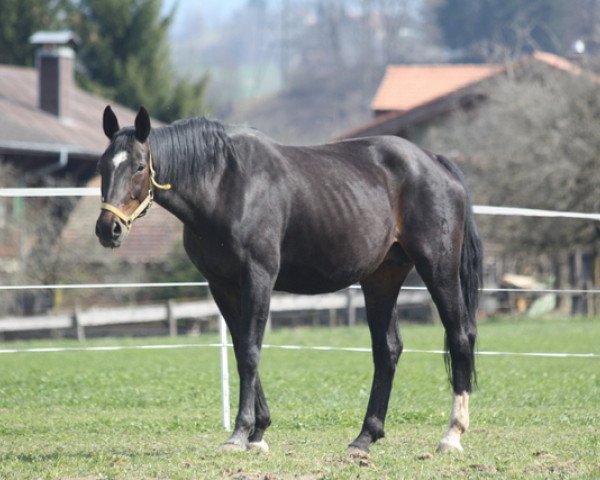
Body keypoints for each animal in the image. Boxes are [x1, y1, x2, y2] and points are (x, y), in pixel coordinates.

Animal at [98, 105, 482, 454]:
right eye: (103, 165)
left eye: (138, 166)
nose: (108, 229)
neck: (225, 184)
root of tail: (435, 161)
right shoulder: (222, 287)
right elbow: (241, 347)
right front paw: (258, 433)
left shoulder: (258, 278)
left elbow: (250, 352)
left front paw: (240, 433)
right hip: (382, 278)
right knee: (387, 350)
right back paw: (364, 438)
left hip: (438, 268)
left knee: (460, 336)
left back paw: (452, 435)